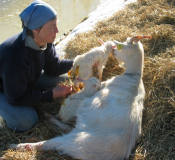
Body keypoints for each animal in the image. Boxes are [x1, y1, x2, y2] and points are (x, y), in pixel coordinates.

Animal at [10, 36, 146, 160]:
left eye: (122, 46)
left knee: (49, 143)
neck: (133, 76)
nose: (113, 48)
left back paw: (20, 144)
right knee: (65, 128)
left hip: (74, 141)